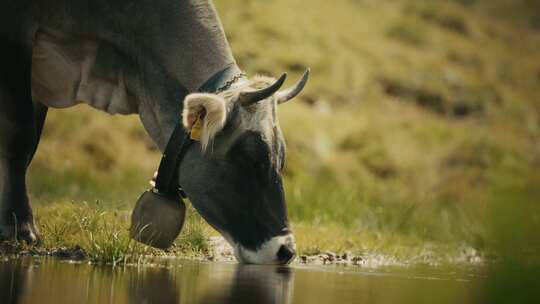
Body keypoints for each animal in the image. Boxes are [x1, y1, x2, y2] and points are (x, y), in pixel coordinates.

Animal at [0, 0, 310, 264]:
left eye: (281, 160)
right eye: (250, 158)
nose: (286, 251)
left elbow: (30, 144)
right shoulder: (15, 34)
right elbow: (20, 136)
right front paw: (21, 230)